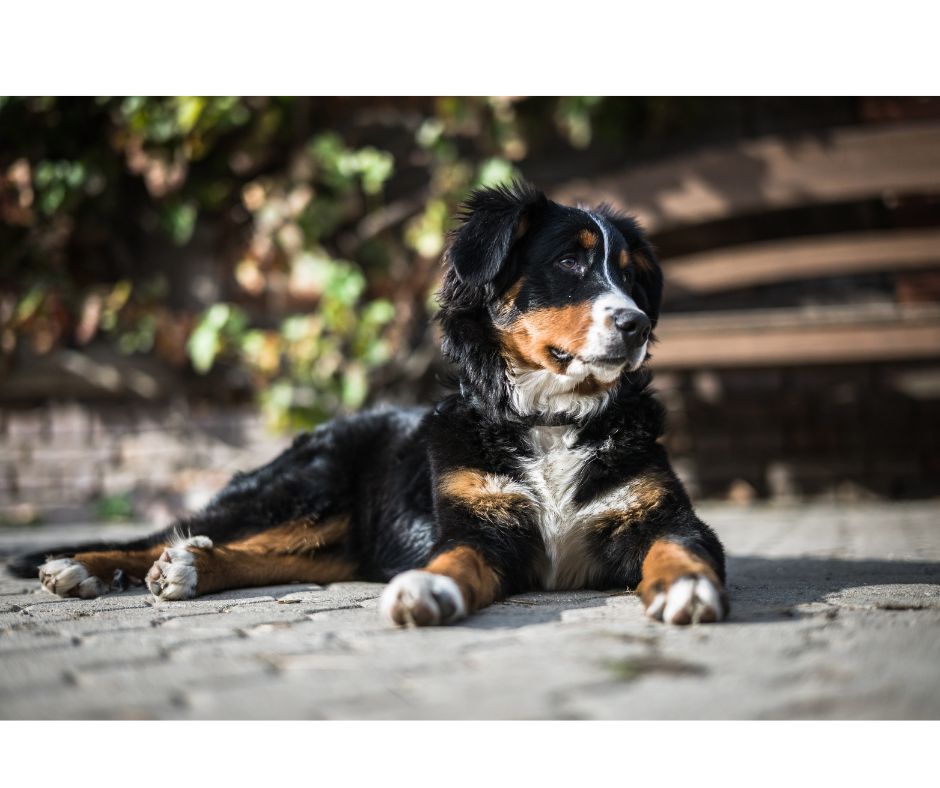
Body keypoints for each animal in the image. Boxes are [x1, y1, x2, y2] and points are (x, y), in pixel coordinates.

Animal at [9, 183, 728, 628]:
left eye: (632, 274)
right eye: (570, 264)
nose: (636, 324)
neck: (551, 421)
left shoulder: (664, 515)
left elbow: (679, 548)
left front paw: (685, 587)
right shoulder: (479, 527)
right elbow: (453, 559)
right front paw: (429, 589)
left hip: (333, 534)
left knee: (258, 555)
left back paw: (188, 568)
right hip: (305, 489)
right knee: (169, 533)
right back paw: (83, 567)